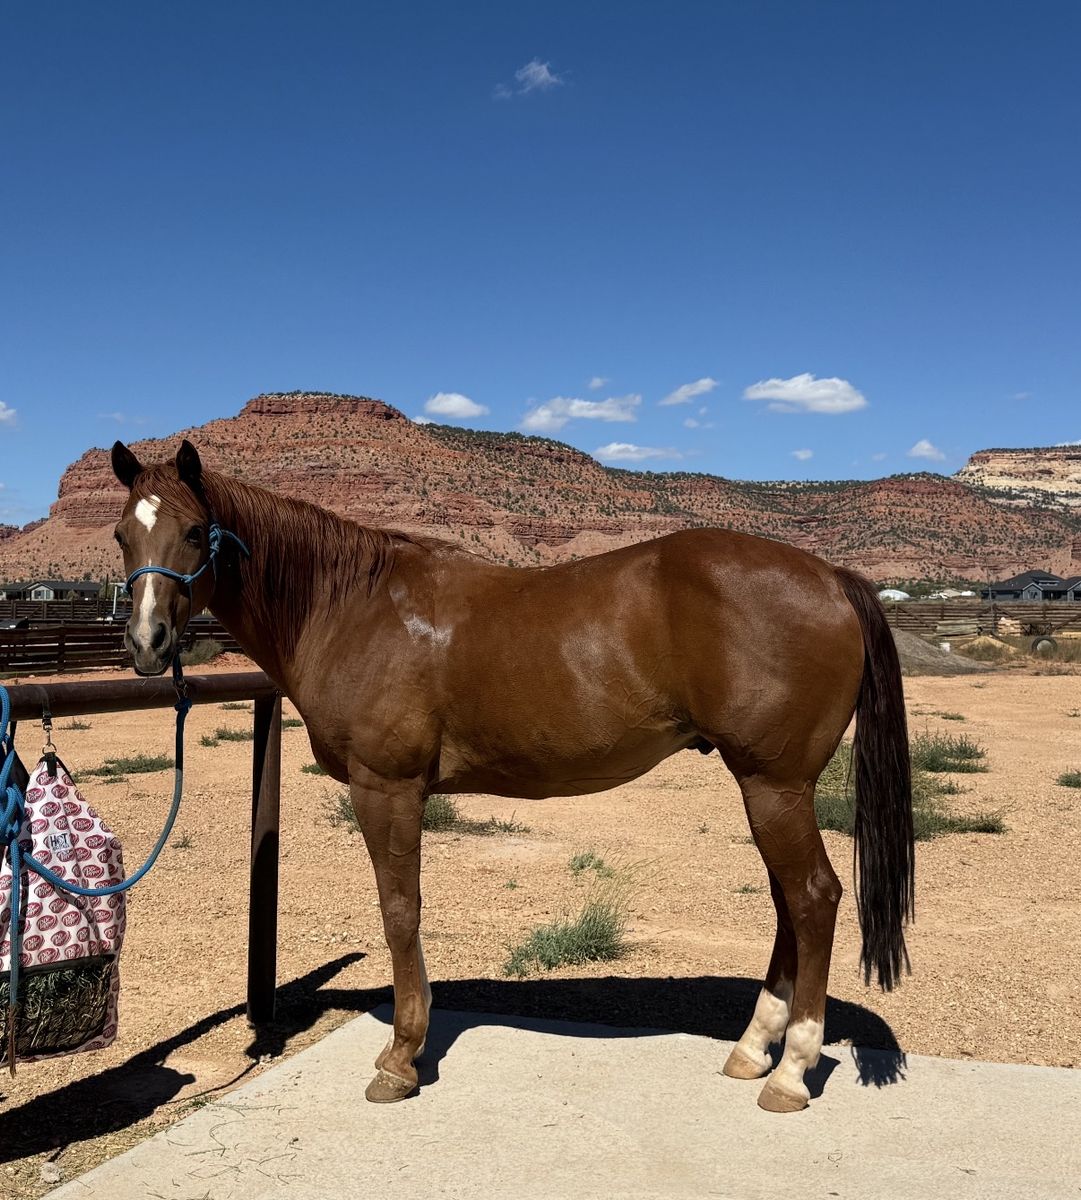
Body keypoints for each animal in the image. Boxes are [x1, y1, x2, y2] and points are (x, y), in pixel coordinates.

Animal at [110, 438, 913, 1113]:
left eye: (193, 532)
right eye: (122, 535)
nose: (147, 644)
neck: (353, 606)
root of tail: (832, 576)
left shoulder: (386, 789)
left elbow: (400, 912)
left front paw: (401, 1058)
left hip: (774, 786)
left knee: (812, 899)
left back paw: (790, 1072)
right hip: (767, 789)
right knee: (788, 904)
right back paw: (752, 1050)